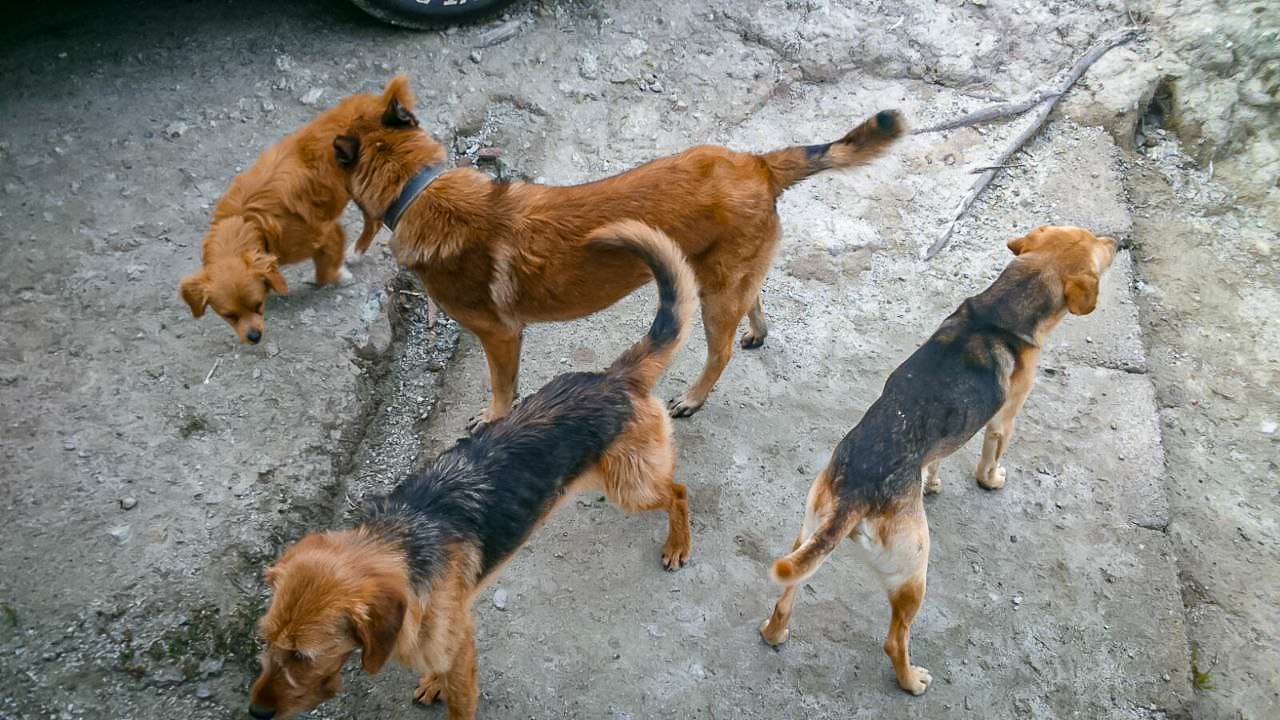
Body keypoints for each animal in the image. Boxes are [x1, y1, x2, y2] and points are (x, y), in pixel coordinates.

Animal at [179, 96, 378, 343]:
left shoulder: (326, 233)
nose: (254, 337)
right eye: (229, 316)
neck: (247, 222)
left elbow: (325, 271)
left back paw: (355, 253)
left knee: (374, 222)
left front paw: (339, 276)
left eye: (258, 305)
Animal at [245, 220, 696, 717]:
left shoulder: (459, 652)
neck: (402, 542)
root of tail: (615, 378)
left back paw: (678, 544)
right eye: (266, 642)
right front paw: (432, 683)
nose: (256, 712)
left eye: (304, 656)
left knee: (678, 491)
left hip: (631, 487)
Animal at [757, 226, 1121, 691]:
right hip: (914, 573)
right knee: (895, 641)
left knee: (786, 601)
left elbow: (937, 458)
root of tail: (857, 493)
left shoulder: (943, 440)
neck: (1000, 311)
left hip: (808, 537)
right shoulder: (1004, 419)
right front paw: (991, 479)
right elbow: (990, 457)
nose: (1118, 242)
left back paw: (775, 633)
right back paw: (911, 680)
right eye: (1098, 245)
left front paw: (931, 482)